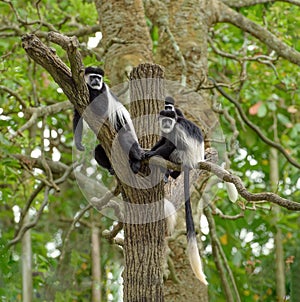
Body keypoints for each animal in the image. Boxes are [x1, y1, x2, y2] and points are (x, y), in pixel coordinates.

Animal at [146, 109, 207, 286]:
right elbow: (162, 140)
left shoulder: (176, 130)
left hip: (180, 155)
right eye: (164, 120)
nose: (166, 124)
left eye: (169, 120)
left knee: (174, 148)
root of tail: (191, 162)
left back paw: (169, 172)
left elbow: (169, 144)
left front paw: (150, 153)